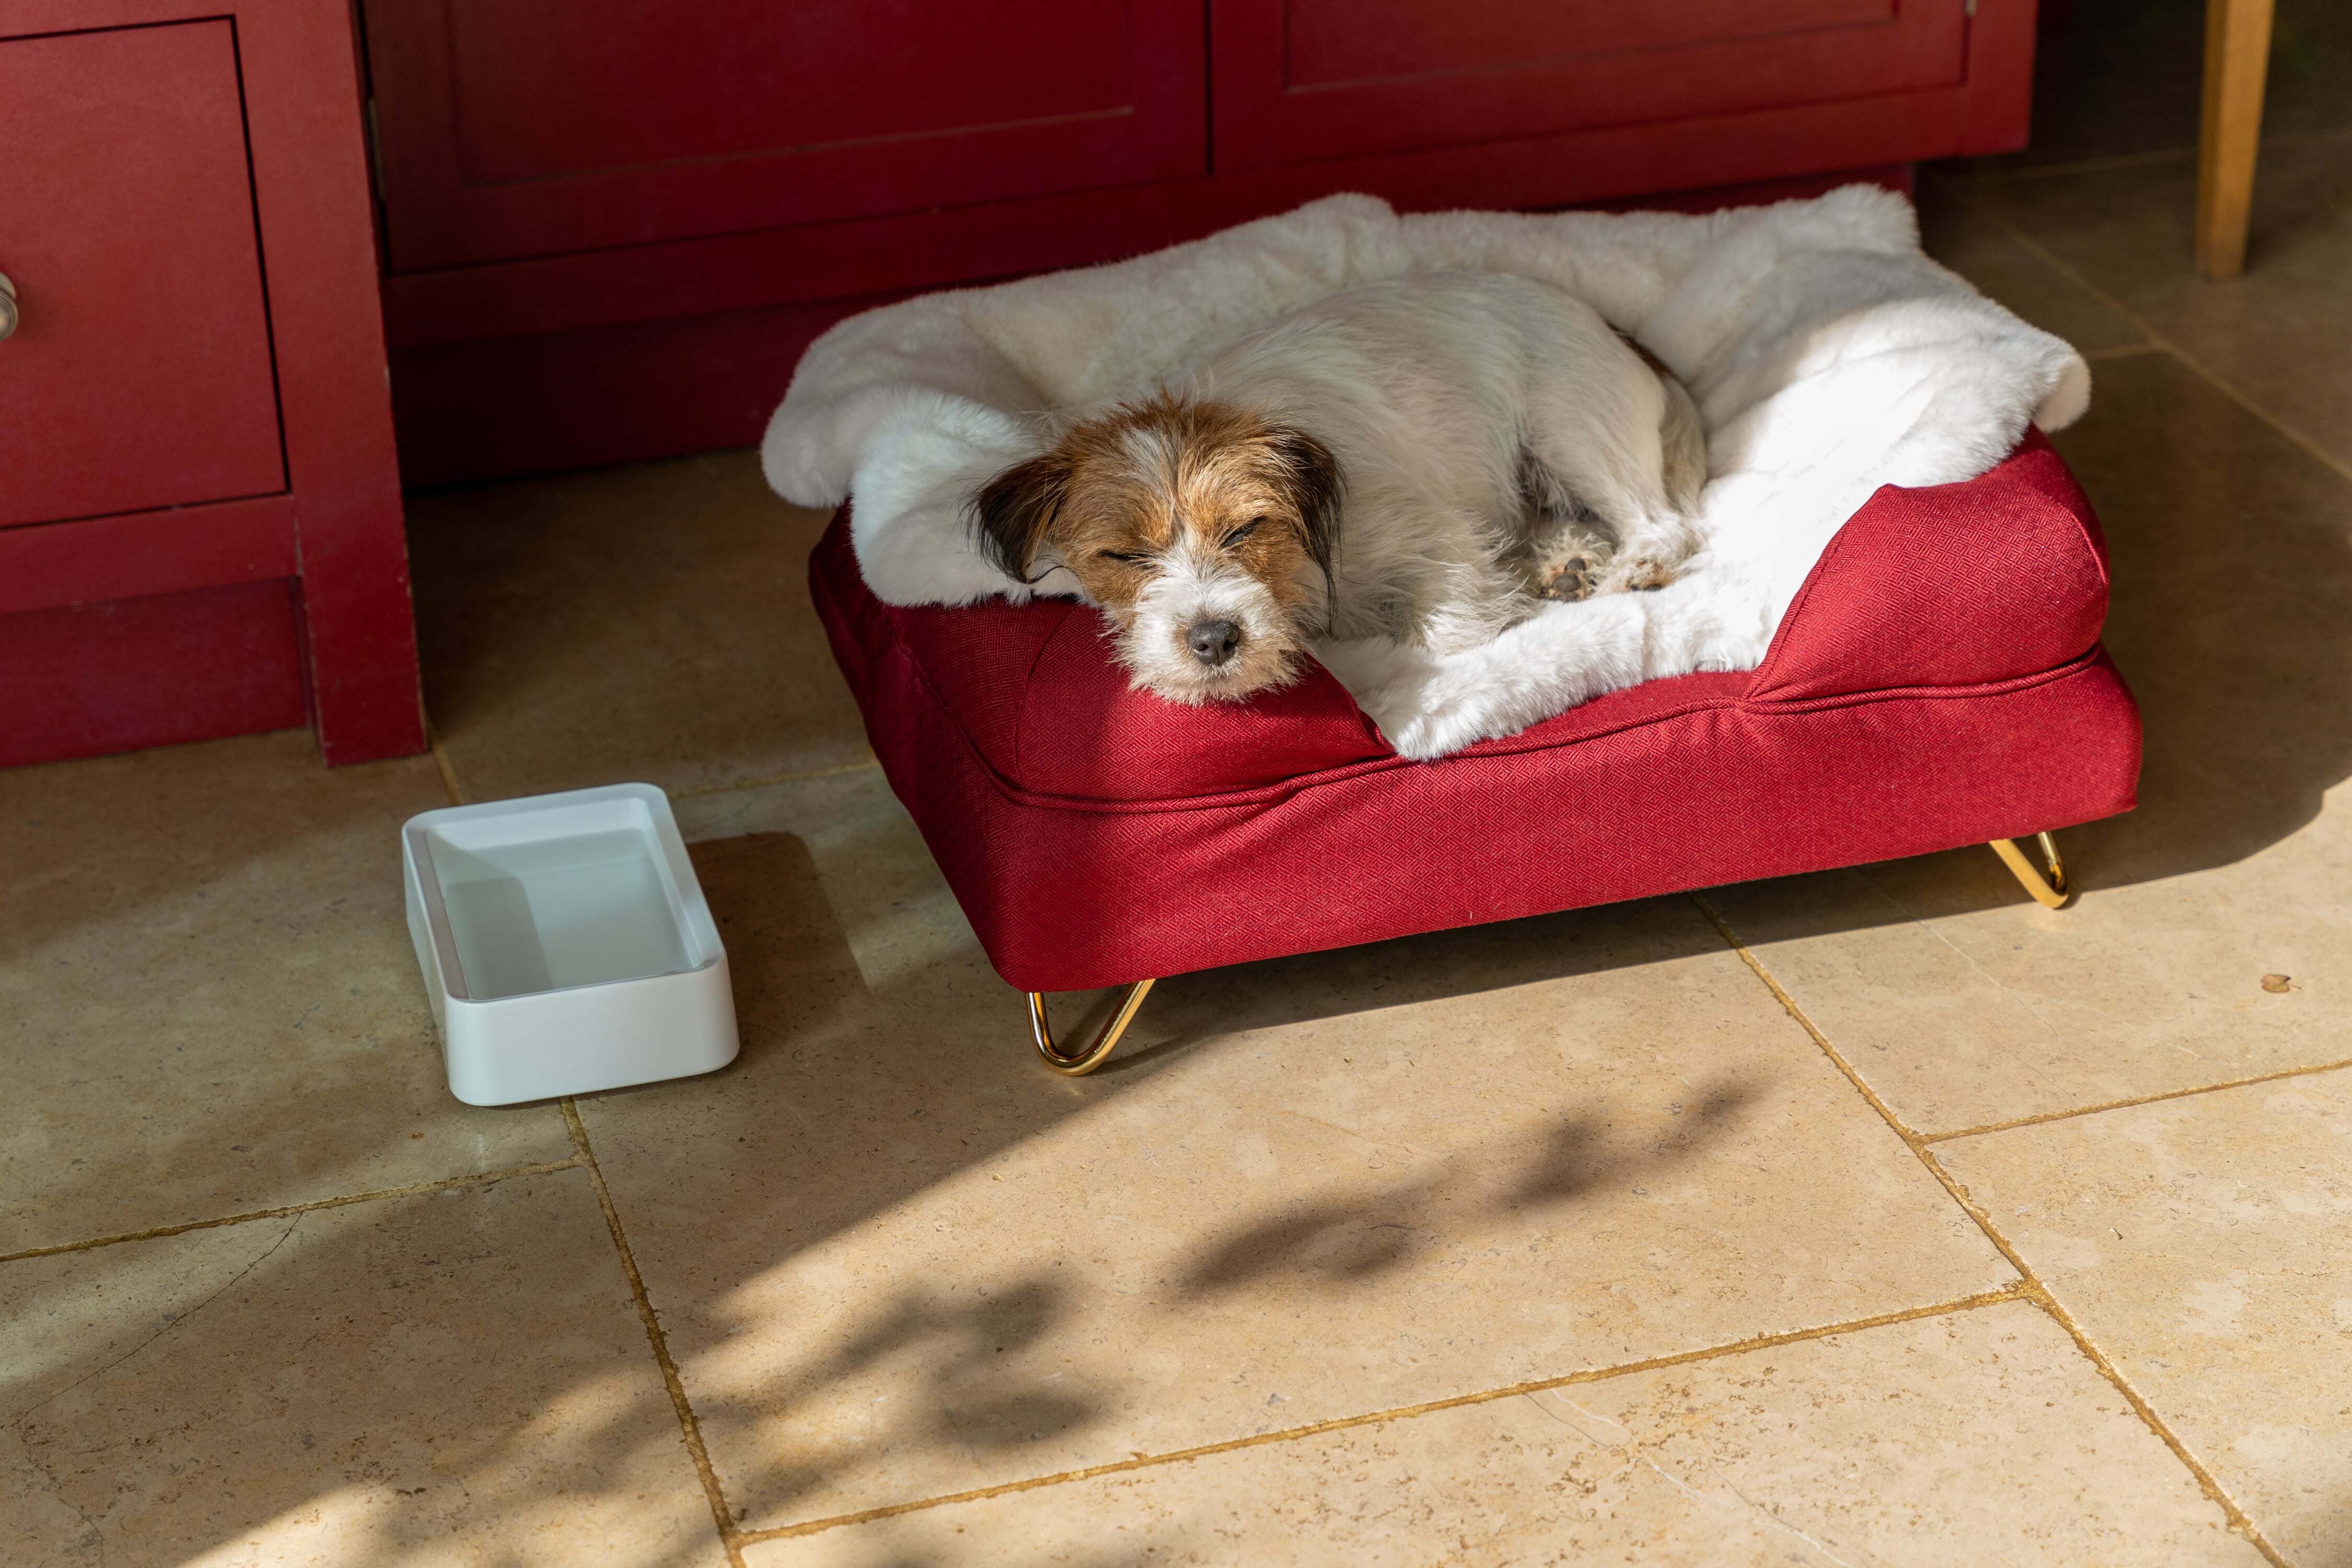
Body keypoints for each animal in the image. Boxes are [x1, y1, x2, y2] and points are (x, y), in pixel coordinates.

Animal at [964, 272, 1703, 700]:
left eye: (1245, 528)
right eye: (1124, 556)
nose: (1213, 639)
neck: (1302, 567)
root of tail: (1611, 326)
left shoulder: (1433, 542)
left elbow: (1447, 638)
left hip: (1571, 427)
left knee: (1661, 522)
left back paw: (1632, 569)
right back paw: (1567, 565)